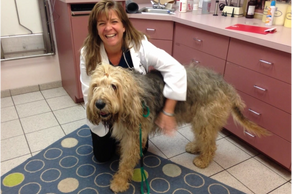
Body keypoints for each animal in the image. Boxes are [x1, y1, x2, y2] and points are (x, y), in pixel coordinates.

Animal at [85, 63, 270, 192]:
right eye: (95, 86)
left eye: (114, 86)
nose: (99, 104)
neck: (131, 98)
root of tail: (226, 85)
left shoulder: (135, 136)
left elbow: (126, 162)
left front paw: (119, 182)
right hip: (200, 119)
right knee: (204, 139)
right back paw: (195, 148)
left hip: (205, 119)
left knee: (211, 144)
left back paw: (203, 160)